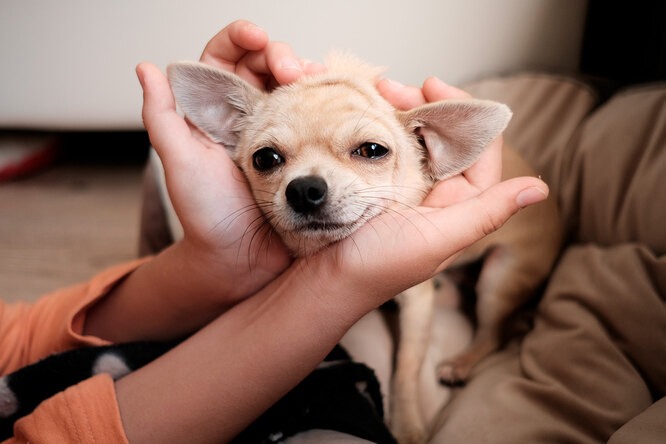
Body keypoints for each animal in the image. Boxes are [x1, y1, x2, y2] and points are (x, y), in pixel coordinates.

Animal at [167, 53, 560, 442]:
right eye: (265, 158)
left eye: (372, 150)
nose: (303, 189)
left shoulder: (417, 303)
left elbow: (407, 365)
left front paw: (407, 425)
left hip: (500, 275)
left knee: (493, 333)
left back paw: (460, 364)